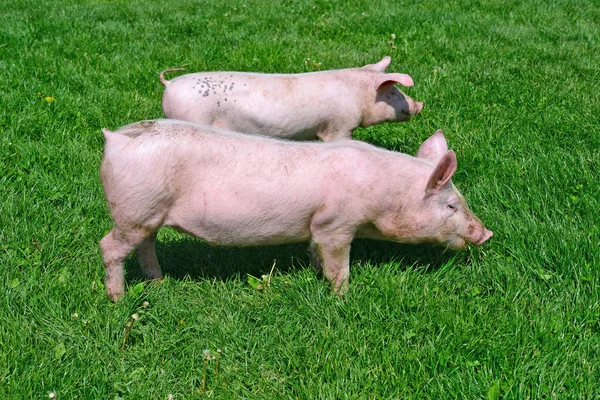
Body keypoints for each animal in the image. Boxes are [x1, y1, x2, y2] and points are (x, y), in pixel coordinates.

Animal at [98, 120, 492, 302]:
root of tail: (114, 139)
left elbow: (315, 252)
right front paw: (342, 297)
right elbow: (339, 265)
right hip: (134, 211)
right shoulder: (335, 224)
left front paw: (316, 273)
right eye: (451, 205)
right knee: (109, 246)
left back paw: (158, 282)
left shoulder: (316, 227)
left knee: (146, 246)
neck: (383, 195)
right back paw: (119, 299)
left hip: (148, 215)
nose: (486, 233)